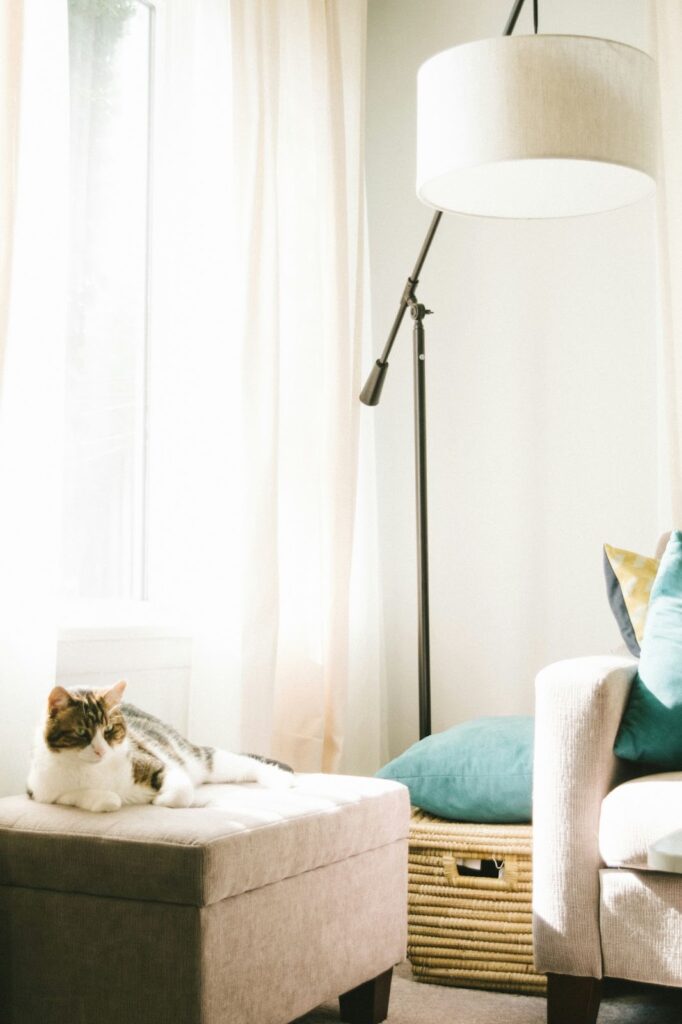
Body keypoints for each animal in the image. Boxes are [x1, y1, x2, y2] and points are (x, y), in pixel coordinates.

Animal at [27, 684, 292, 811]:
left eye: (109, 730)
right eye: (82, 733)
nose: (101, 751)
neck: (93, 770)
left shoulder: (154, 762)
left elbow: (182, 791)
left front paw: (161, 800)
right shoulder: (41, 792)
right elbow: (105, 799)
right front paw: (109, 797)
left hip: (195, 757)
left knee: (244, 762)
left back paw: (280, 779)